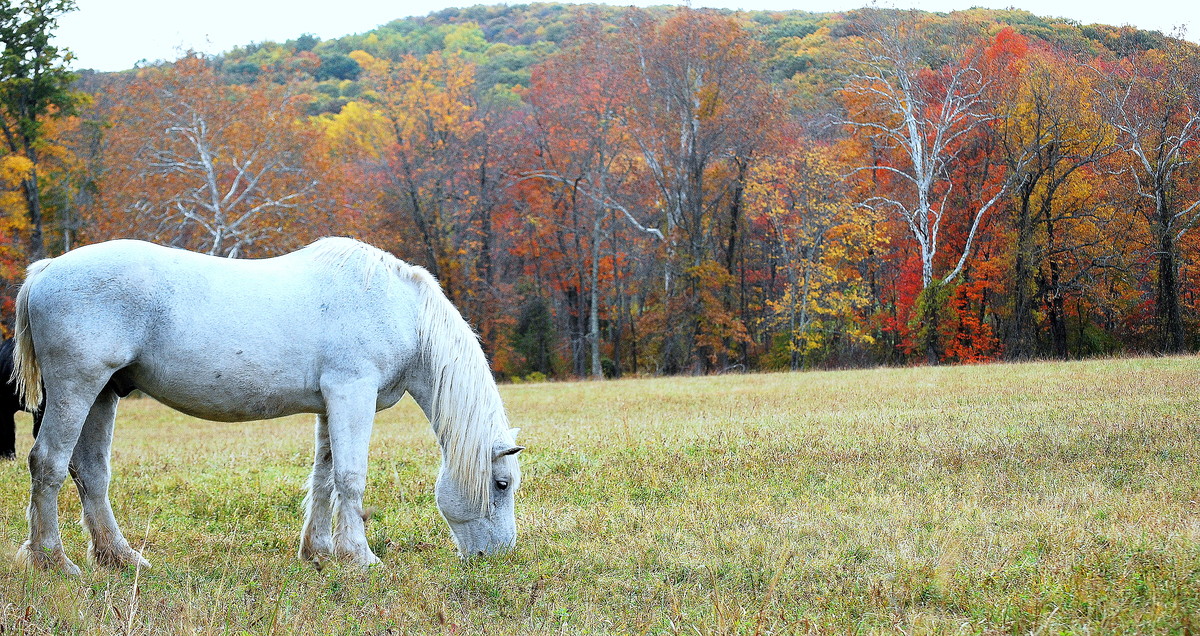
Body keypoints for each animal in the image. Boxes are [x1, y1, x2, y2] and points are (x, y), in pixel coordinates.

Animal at [9, 235, 523, 571]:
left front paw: (319, 552)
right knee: (48, 464)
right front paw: (360, 558)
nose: (498, 556)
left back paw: (121, 558)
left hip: (103, 393)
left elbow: (324, 478)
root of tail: (47, 270)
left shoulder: (330, 404)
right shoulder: (352, 393)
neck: (400, 310)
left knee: (90, 473)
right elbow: (350, 477)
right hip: (76, 388)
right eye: (500, 484)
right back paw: (52, 561)